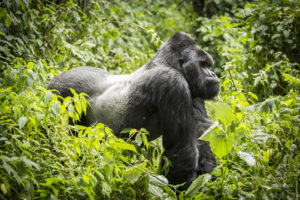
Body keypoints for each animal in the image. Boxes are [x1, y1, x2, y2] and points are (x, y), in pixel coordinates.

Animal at [47, 32, 220, 188]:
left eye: (208, 65)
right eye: (202, 65)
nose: (213, 74)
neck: (168, 63)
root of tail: (54, 79)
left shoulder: (194, 90)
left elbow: (202, 134)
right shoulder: (172, 82)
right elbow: (183, 149)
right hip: (59, 93)